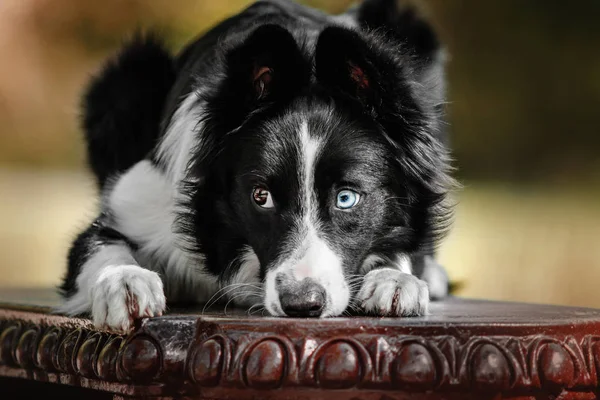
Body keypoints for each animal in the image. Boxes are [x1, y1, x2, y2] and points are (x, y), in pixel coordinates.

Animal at [59, 0, 454, 332]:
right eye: (261, 197)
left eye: (346, 198)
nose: (302, 304)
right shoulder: (136, 205)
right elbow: (100, 245)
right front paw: (124, 282)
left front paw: (395, 279)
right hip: (127, 78)